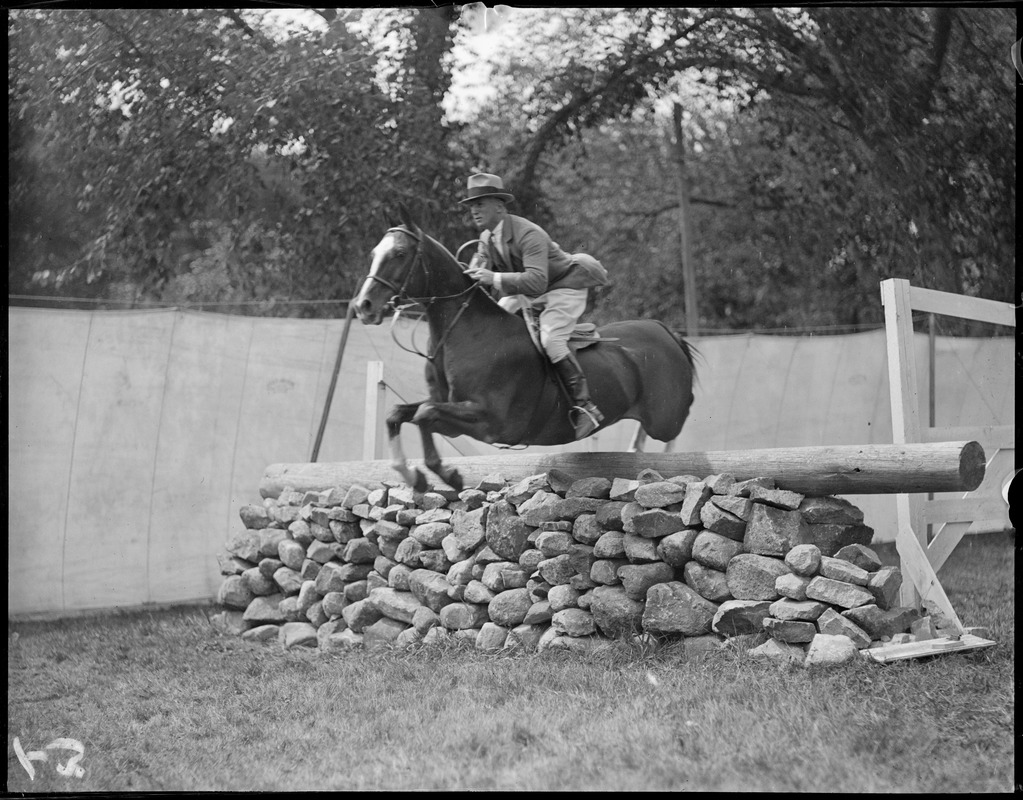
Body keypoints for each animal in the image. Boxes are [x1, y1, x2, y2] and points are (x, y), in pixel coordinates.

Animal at [351, 205, 695, 495]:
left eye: (399, 253)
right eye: (374, 252)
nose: (363, 306)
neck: (463, 332)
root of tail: (664, 330)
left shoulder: (489, 421)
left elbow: (424, 414)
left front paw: (448, 476)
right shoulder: (449, 408)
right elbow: (400, 414)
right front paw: (416, 477)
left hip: (664, 417)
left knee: (679, 423)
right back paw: (635, 452)